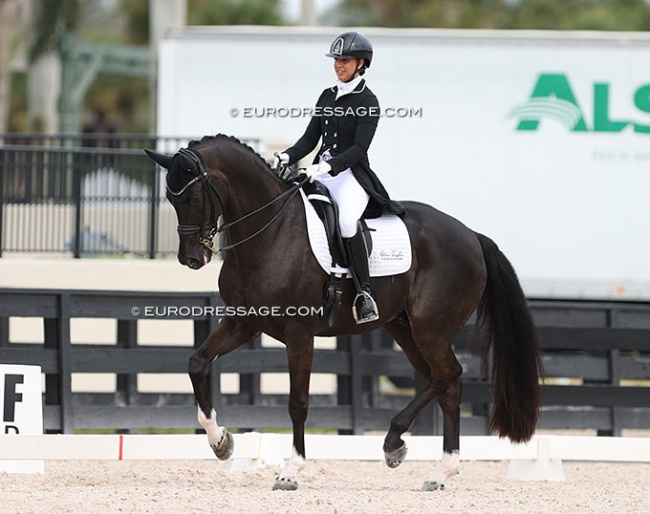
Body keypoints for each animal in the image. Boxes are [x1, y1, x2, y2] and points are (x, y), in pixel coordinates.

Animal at [146, 134, 540, 490]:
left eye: (195, 196)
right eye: (170, 198)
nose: (192, 258)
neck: (272, 233)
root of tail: (471, 235)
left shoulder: (299, 335)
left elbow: (298, 403)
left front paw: (291, 471)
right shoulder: (244, 322)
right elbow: (197, 363)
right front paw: (221, 441)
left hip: (431, 329)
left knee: (448, 375)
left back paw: (411, 452)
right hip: (404, 329)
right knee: (444, 382)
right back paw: (424, 463)